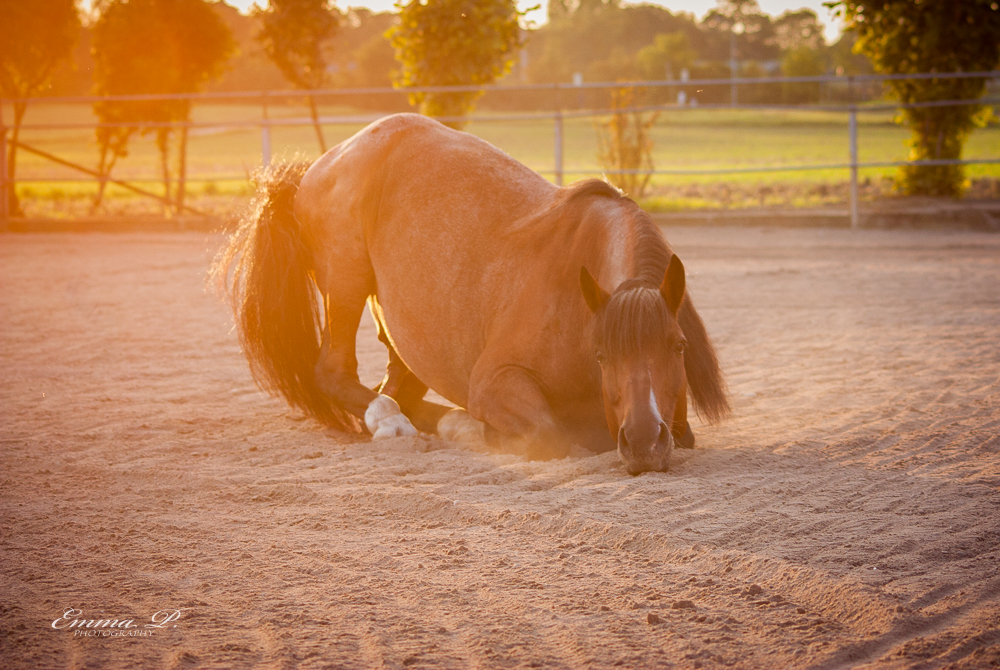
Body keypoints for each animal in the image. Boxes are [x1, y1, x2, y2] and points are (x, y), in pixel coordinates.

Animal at [213, 113, 728, 476]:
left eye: (678, 346)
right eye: (601, 354)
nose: (642, 444)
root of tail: (319, 165)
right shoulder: (494, 382)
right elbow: (549, 436)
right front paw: (477, 431)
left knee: (395, 386)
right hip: (346, 281)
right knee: (337, 374)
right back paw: (397, 422)